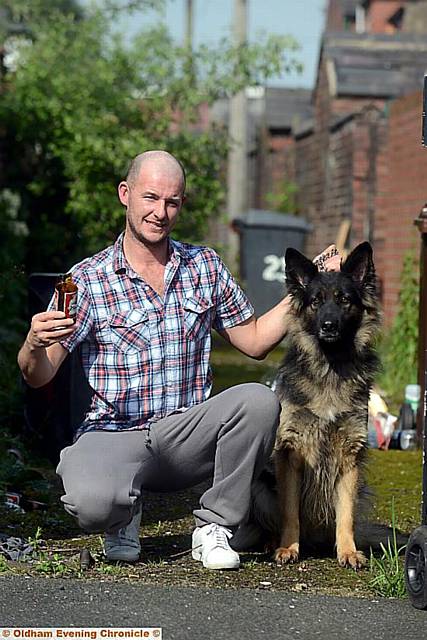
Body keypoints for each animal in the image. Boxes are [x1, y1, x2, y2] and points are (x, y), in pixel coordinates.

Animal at [232, 242, 396, 568]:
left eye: (344, 300)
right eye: (315, 302)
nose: (329, 326)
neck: (329, 366)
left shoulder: (349, 456)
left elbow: (345, 514)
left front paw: (347, 551)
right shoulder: (291, 452)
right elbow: (289, 510)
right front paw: (287, 548)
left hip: (362, 487)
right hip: (259, 486)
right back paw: (272, 542)